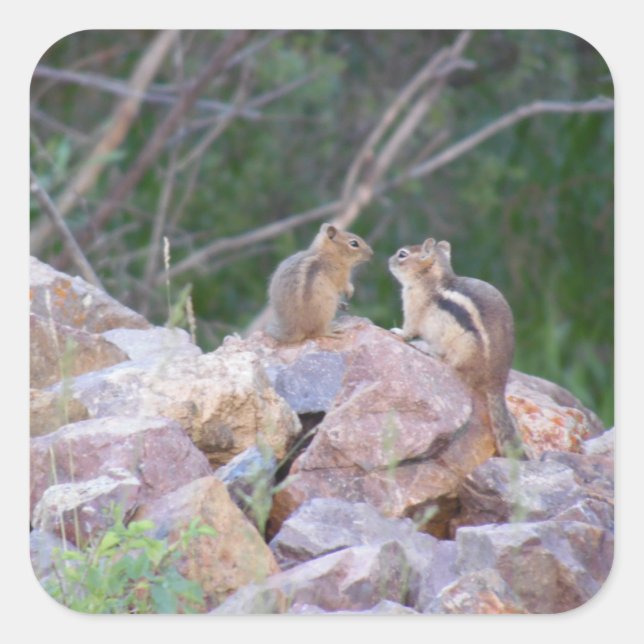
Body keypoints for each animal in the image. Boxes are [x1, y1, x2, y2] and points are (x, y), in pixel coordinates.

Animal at [388, 237, 526, 459]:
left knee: (453, 366)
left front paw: (398, 332)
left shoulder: (413, 309)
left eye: (402, 254)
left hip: (463, 346)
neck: (433, 279)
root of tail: (497, 381)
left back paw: (431, 351)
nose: (389, 261)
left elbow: (409, 329)